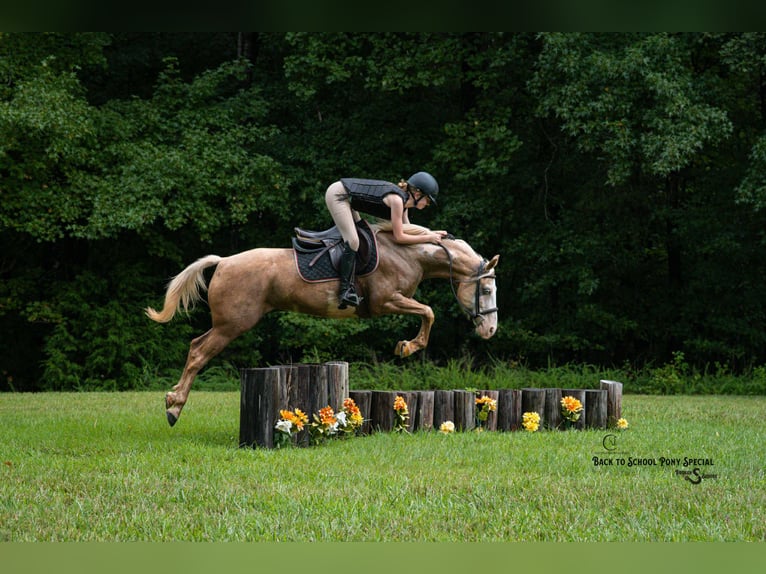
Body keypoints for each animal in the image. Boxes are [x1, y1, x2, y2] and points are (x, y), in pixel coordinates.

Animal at [146, 222, 499, 426]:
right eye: (485, 290)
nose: (490, 331)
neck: (409, 253)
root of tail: (223, 261)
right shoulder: (386, 301)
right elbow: (428, 312)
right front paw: (407, 347)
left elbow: (426, 312)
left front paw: (406, 346)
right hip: (232, 325)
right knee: (199, 354)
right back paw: (173, 408)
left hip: (227, 324)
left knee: (195, 345)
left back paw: (173, 403)